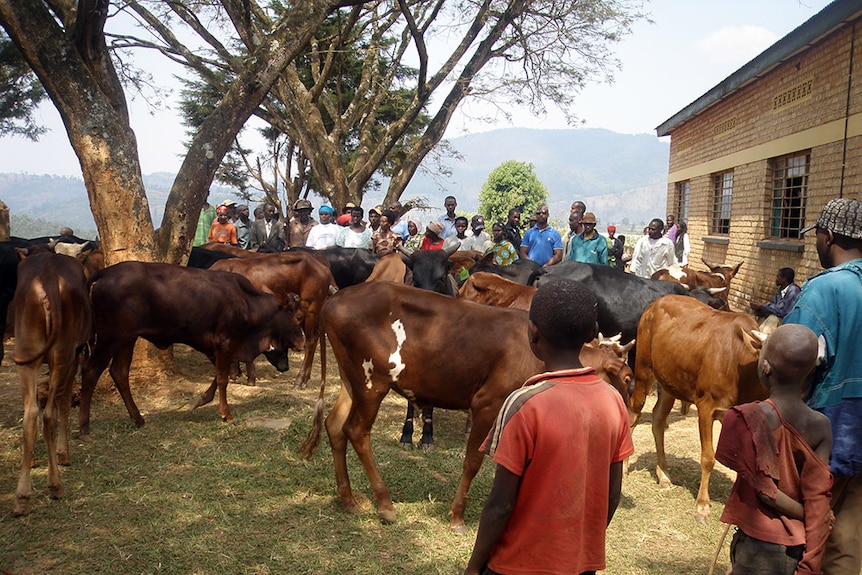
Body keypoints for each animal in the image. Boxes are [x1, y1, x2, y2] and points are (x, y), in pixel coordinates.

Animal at [12, 252, 91, 516]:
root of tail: (46, 275)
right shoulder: (76, 354)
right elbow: (63, 404)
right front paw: (62, 453)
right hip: (63, 353)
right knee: (48, 415)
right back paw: (55, 485)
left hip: (26, 352)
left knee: (30, 414)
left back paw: (22, 497)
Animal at [78, 262, 308, 436]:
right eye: (298, 317)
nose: (302, 344)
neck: (247, 302)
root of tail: (104, 273)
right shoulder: (225, 344)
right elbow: (223, 379)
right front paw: (226, 414)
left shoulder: (217, 348)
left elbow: (221, 376)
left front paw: (201, 400)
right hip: (110, 338)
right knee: (90, 370)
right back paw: (84, 428)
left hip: (127, 339)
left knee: (119, 372)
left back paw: (138, 418)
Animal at [211, 251, 340, 388]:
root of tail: (319, 263)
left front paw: (249, 378)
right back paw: (305, 379)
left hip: (310, 309)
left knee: (310, 341)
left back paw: (299, 380)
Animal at [304, 282, 552, 528]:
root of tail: (336, 298)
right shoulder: (488, 402)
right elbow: (473, 461)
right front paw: (458, 515)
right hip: (372, 383)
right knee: (355, 430)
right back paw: (385, 504)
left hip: (350, 380)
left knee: (334, 425)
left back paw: (348, 500)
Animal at [628, 294, 768, 524]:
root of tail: (656, 303)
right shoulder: (706, 406)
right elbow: (708, 458)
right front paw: (702, 506)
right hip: (643, 369)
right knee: (634, 411)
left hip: (669, 382)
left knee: (658, 420)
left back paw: (663, 474)